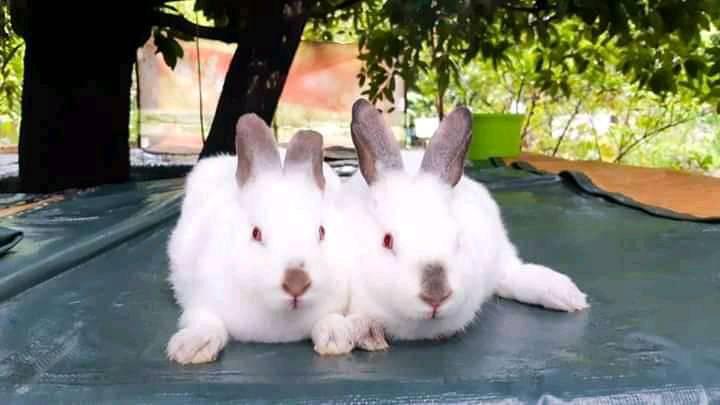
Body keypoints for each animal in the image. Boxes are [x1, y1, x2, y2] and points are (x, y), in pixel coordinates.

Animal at [165, 113, 353, 364]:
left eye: (322, 232)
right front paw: (192, 347)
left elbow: (330, 317)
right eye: (256, 233)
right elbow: (206, 322)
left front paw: (337, 337)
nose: (296, 283)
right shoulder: (201, 302)